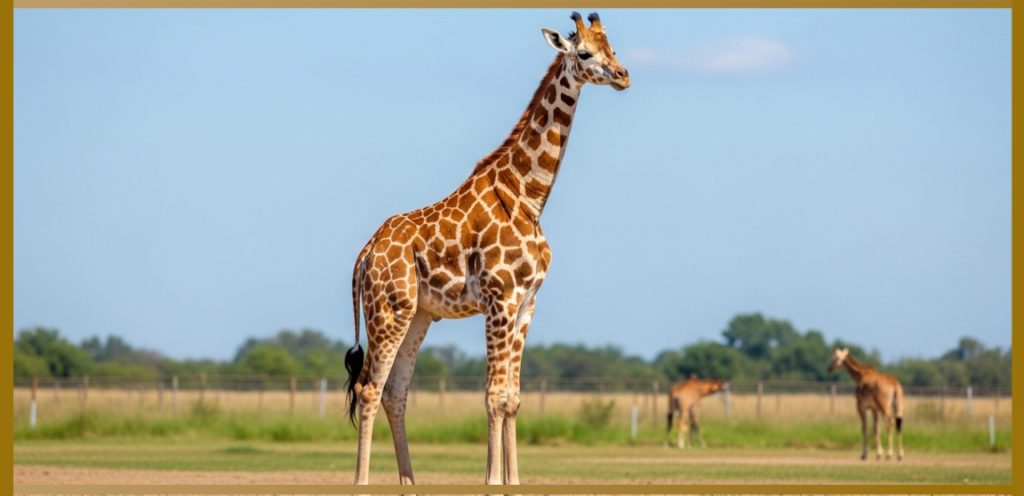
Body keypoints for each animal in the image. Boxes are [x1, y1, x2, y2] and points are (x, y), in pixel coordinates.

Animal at [342, 12, 629, 486]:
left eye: (615, 48)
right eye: (585, 53)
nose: (624, 76)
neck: (528, 197)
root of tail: (366, 252)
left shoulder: (527, 303)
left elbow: (512, 398)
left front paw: (514, 481)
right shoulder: (499, 299)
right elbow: (493, 397)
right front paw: (492, 481)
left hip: (418, 314)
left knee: (395, 392)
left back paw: (410, 483)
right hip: (387, 310)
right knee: (369, 389)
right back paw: (363, 483)